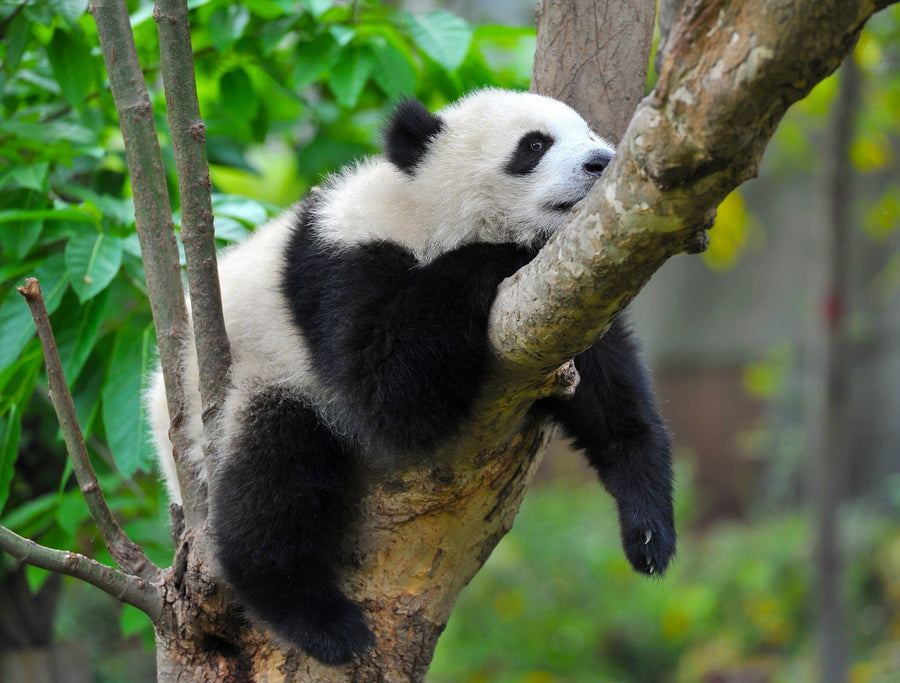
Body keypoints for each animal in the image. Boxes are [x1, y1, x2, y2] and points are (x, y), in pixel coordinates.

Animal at [147, 88, 675, 666]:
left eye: (590, 133)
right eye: (534, 145)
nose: (601, 161)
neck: (430, 210)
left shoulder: (568, 297)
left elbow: (610, 393)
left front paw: (649, 529)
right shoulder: (341, 264)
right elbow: (386, 391)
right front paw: (499, 255)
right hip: (242, 385)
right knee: (273, 473)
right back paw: (318, 621)